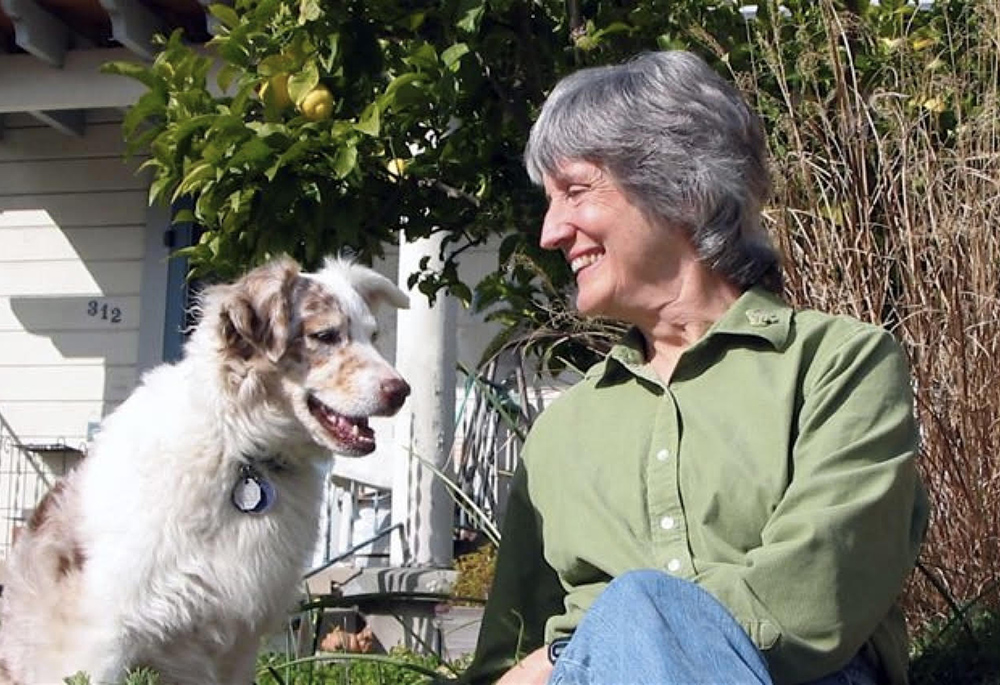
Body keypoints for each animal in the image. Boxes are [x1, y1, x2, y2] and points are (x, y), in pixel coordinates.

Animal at [0, 255, 410, 684]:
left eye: (373, 336)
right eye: (326, 335)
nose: (402, 390)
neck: (240, 448)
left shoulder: (240, 640)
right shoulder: (103, 637)